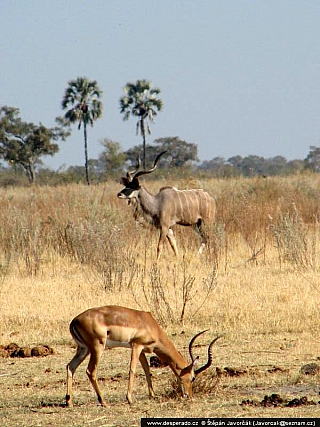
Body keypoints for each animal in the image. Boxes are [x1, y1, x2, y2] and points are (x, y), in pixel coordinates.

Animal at [65, 306, 220, 406]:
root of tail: (74, 321)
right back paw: (103, 402)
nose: (189, 395)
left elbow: (147, 370)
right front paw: (129, 399)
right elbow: (132, 370)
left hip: (83, 349)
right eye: (193, 378)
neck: (151, 325)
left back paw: (69, 401)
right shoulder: (136, 345)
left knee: (70, 367)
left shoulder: (143, 351)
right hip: (97, 348)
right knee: (90, 371)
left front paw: (153, 395)